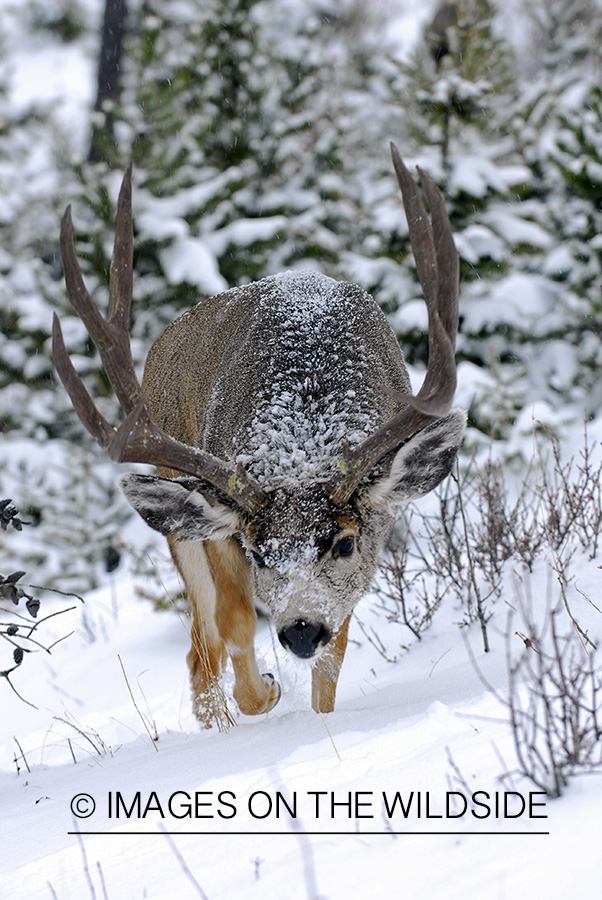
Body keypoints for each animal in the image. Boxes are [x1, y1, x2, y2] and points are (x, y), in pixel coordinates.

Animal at [52, 144, 466, 728]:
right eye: (260, 551)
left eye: (343, 541)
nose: (299, 630)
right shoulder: (225, 525)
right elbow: (238, 626)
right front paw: (266, 694)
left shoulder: (372, 541)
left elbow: (333, 663)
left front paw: (318, 720)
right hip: (181, 516)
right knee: (203, 649)